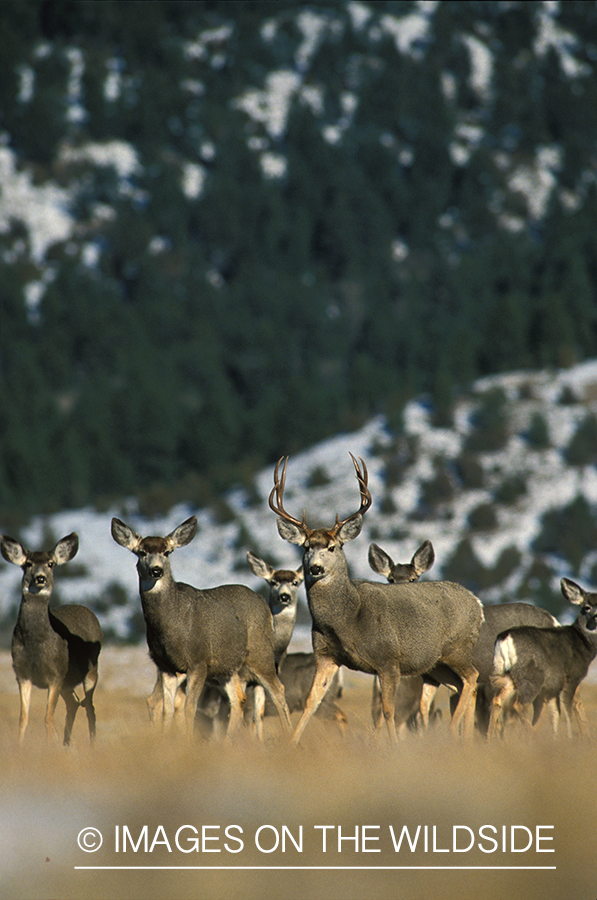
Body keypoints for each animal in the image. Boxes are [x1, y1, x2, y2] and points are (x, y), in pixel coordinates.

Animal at [1, 532, 102, 746]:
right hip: (68, 684)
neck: (37, 644)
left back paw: (91, 745)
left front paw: (48, 746)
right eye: (28, 563)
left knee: (90, 708)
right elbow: (23, 717)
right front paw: (21, 746)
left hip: (90, 672)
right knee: (74, 704)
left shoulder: (56, 673)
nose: (40, 578)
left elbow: (48, 717)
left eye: (51, 564)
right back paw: (66, 744)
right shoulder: (22, 673)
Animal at [110, 516, 291, 738]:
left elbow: (189, 707)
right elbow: (168, 710)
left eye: (167, 551)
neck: (171, 624)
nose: (156, 570)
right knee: (238, 699)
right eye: (142, 552)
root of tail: (263, 604)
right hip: (226, 667)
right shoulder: (165, 666)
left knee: (278, 690)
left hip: (260, 652)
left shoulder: (198, 660)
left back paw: (290, 739)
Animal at [269, 453, 483, 745]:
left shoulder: (388, 660)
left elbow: (388, 710)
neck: (348, 618)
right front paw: (292, 742)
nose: (315, 568)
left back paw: (452, 732)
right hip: (436, 662)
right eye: (306, 547)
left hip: (458, 647)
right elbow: (312, 702)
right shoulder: (325, 656)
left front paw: (393, 746)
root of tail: (477, 604)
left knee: (472, 677)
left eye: (332, 547)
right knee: (460, 685)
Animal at [488, 577, 597, 740]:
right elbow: (567, 710)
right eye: (586, 607)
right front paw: (569, 738)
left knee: (497, 700)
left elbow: (555, 714)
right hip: (530, 677)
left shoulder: (553, 685)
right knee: (520, 705)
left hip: (504, 674)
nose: (594, 622)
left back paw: (489, 739)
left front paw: (555, 739)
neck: (583, 643)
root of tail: (504, 637)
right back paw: (531, 737)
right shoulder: (571, 677)